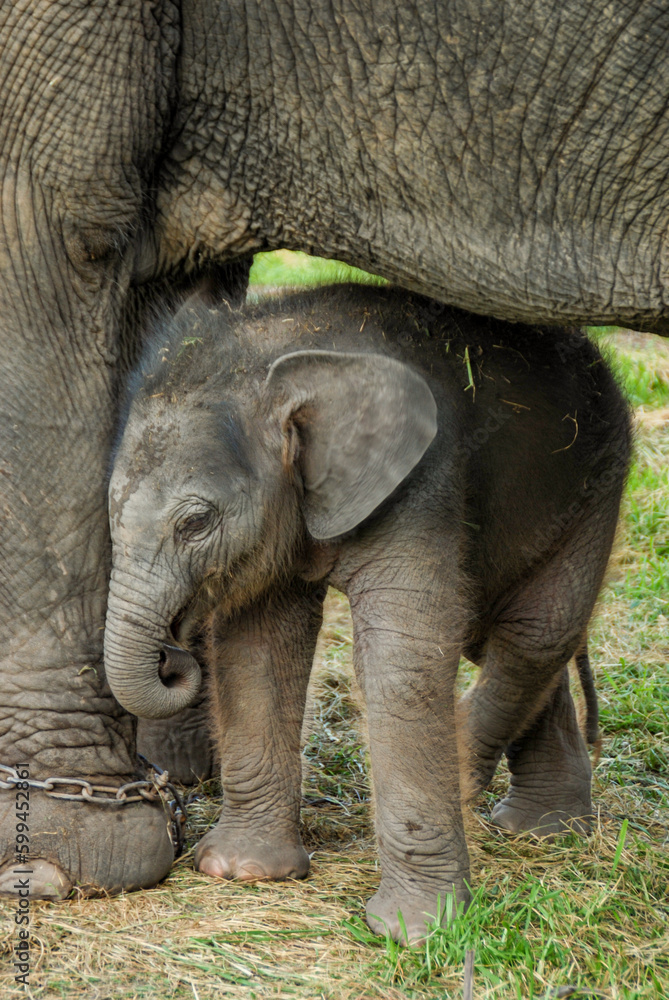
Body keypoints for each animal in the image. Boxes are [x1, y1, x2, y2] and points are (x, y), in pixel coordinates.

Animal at [104, 284, 631, 942]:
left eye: (195, 523)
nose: (173, 656)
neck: (281, 353)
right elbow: (257, 649)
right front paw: (242, 872)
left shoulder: (423, 481)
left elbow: (400, 659)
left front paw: (416, 932)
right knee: (514, 636)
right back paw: (540, 829)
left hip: (598, 479)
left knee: (536, 632)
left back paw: (480, 776)